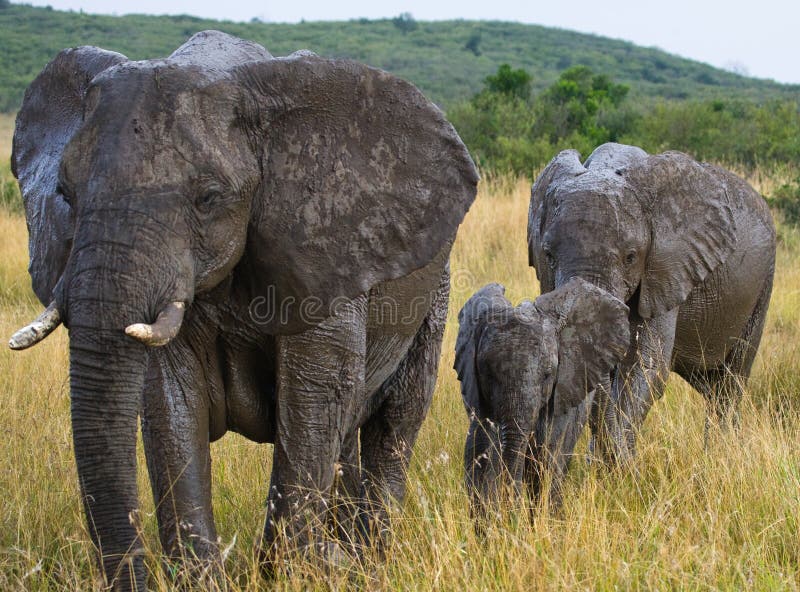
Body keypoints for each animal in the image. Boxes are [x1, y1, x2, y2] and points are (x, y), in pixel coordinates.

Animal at [7, 31, 476, 588]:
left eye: (208, 198)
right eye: (64, 194)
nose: (137, 574)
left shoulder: (324, 251)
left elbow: (314, 398)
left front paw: (291, 575)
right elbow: (170, 403)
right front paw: (206, 578)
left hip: (436, 291)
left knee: (394, 423)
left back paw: (366, 561)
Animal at [528, 143, 780, 462]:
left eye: (631, 257)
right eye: (548, 255)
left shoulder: (667, 268)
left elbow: (647, 365)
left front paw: (621, 465)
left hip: (762, 287)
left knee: (730, 384)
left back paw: (721, 455)